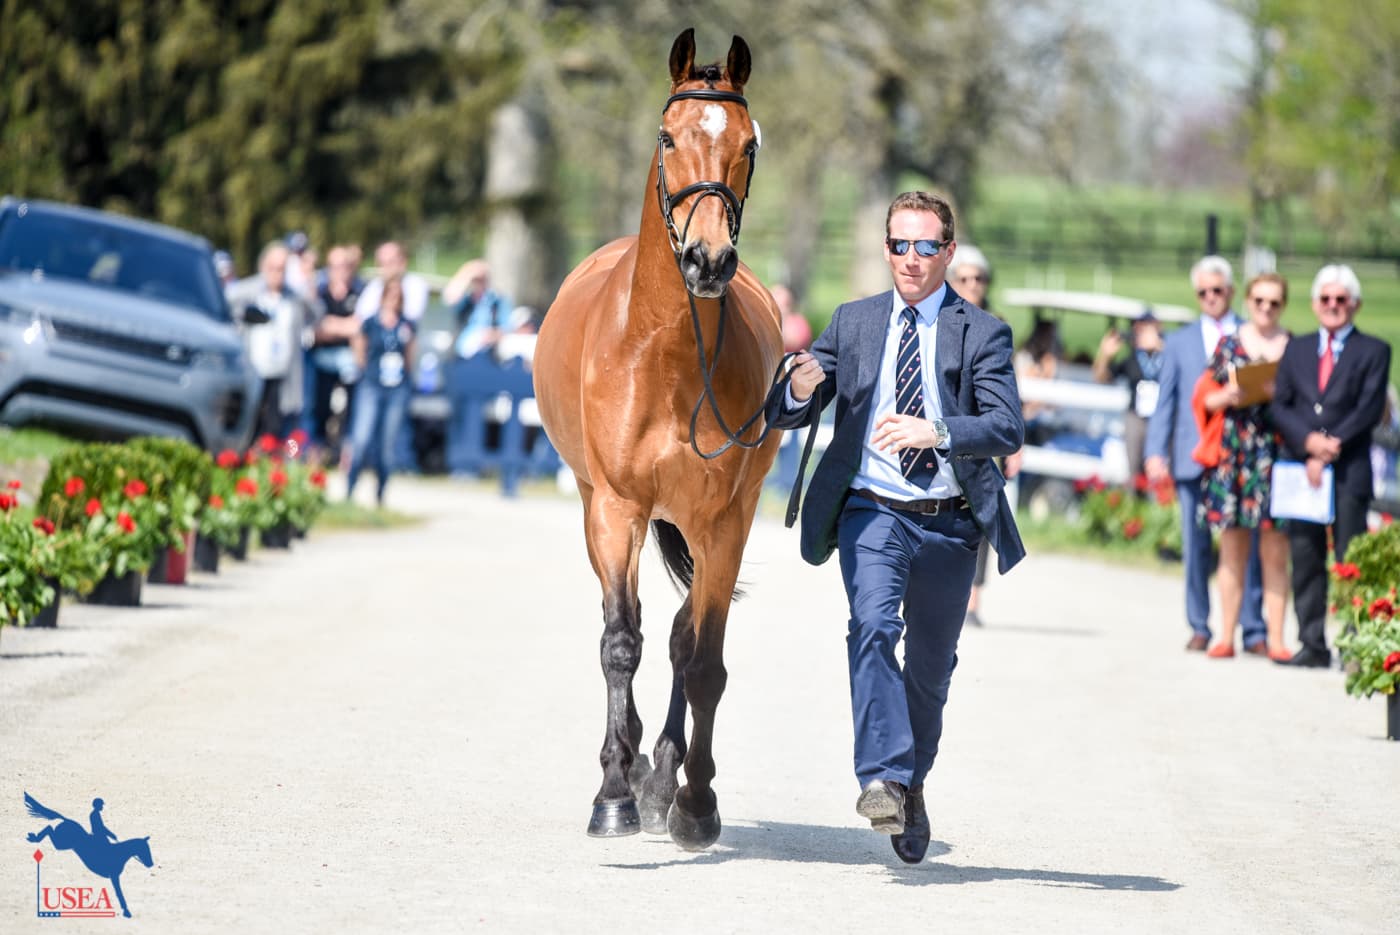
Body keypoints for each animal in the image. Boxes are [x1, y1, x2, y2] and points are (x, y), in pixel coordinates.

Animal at [533, 28, 784, 851]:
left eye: (749, 143)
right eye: (668, 136)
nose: (709, 260)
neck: (670, 357)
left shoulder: (724, 523)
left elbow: (702, 660)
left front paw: (695, 802)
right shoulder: (617, 508)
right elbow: (621, 641)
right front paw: (612, 792)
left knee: (678, 636)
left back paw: (664, 770)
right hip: (605, 510)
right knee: (637, 627)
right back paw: (636, 767)